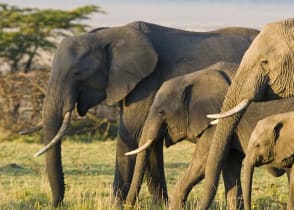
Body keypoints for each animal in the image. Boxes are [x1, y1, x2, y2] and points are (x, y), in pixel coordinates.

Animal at [35, 20, 260, 207]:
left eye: (77, 73)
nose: (56, 203)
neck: (109, 34)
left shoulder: (147, 84)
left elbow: (132, 135)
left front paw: (116, 206)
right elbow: (148, 141)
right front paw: (160, 205)